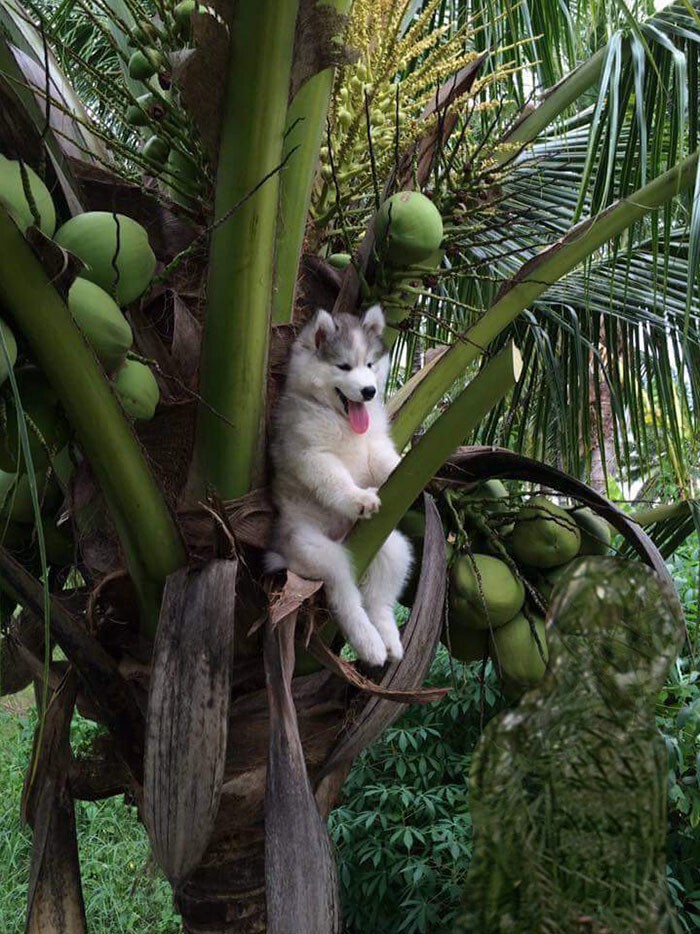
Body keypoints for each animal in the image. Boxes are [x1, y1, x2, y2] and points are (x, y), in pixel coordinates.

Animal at [266, 306, 410, 664]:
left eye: (369, 364)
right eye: (343, 366)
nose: (370, 392)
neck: (340, 420)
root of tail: (345, 539)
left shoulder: (375, 446)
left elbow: (385, 462)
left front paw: (403, 466)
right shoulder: (311, 455)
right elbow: (335, 479)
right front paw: (358, 497)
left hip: (392, 547)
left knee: (379, 598)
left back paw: (388, 639)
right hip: (315, 551)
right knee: (345, 596)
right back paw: (369, 642)